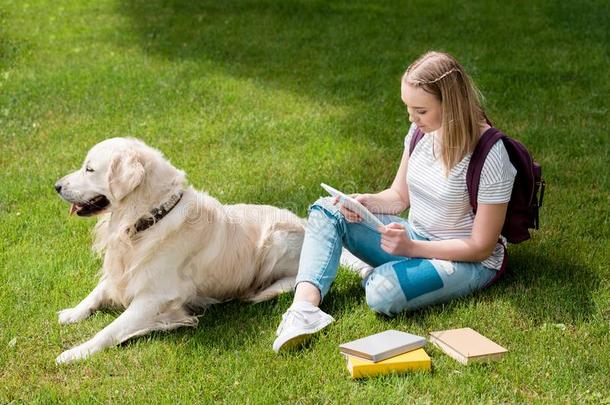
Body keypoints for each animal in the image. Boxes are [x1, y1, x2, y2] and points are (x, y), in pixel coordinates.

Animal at [54, 137, 314, 364]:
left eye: (89, 169)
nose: (56, 186)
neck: (148, 218)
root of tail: (304, 222)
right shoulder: (123, 272)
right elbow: (97, 291)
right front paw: (73, 312)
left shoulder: (155, 297)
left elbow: (110, 330)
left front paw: (75, 352)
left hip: (277, 241)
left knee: (295, 277)